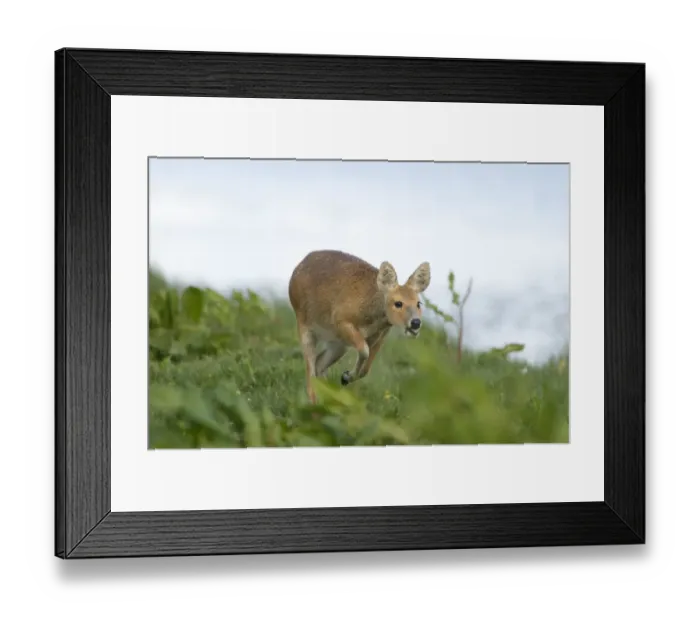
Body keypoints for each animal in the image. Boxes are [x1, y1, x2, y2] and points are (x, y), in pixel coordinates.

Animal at [288, 249, 431, 404]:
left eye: (418, 303)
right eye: (398, 303)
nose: (415, 323)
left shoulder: (380, 336)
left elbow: (365, 369)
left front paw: (345, 377)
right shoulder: (341, 320)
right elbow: (364, 351)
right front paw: (346, 376)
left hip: (338, 344)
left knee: (319, 363)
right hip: (304, 326)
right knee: (311, 371)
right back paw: (314, 403)